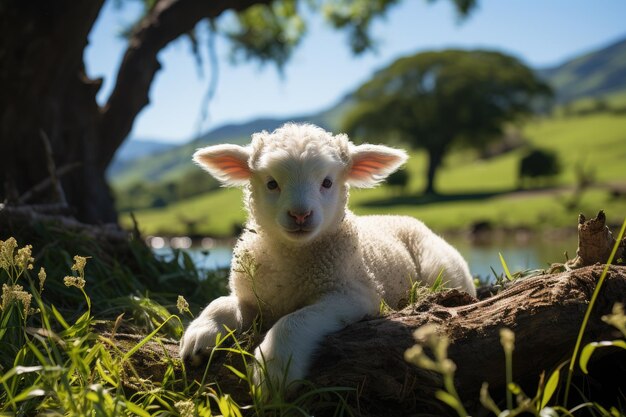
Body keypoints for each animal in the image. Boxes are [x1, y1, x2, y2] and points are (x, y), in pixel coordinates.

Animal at [179, 122, 472, 388]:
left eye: (327, 182)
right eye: (272, 184)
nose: (300, 214)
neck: (292, 259)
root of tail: (399, 216)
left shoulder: (354, 295)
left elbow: (294, 321)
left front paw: (274, 370)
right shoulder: (252, 297)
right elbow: (220, 302)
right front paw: (200, 336)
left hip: (443, 269)